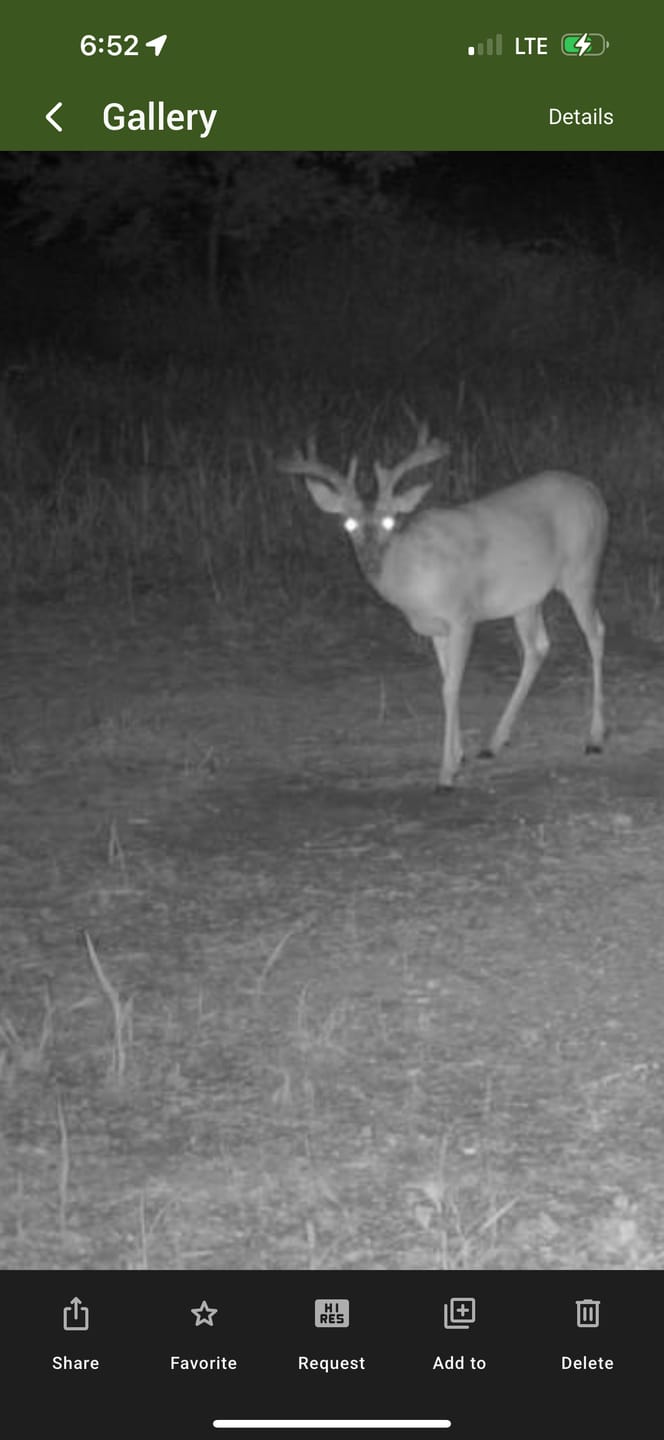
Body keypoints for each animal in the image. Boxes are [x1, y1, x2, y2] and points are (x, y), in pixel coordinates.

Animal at [278, 422, 608, 790]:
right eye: (348, 523)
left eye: (391, 520)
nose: (371, 561)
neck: (414, 576)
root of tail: (594, 491)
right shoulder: (435, 628)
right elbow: (447, 680)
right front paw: (459, 755)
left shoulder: (463, 615)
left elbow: (451, 687)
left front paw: (445, 775)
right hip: (526, 597)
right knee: (538, 647)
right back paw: (494, 742)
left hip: (581, 571)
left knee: (595, 633)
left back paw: (594, 738)